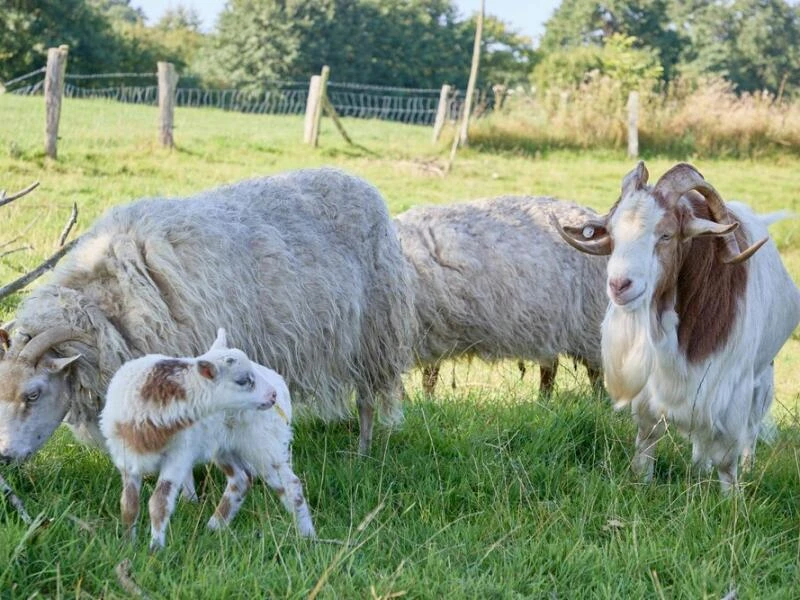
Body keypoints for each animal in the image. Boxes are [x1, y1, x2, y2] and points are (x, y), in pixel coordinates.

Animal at [0, 166, 412, 462]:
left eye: (33, 394)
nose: (4, 457)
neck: (111, 308)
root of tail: (361, 182)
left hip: (374, 334)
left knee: (366, 400)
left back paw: (362, 454)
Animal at [103, 330, 318, 552]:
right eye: (243, 381)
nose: (272, 395)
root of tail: (280, 382)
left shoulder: (178, 456)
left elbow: (159, 503)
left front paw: (155, 550)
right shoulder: (126, 459)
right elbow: (128, 505)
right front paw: (127, 545)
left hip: (264, 443)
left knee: (291, 485)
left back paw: (308, 537)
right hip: (225, 447)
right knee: (241, 479)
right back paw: (214, 527)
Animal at [396, 195, 608, 396]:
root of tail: (591, 214)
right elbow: (426, 379)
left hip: (588, 322)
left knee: (595, 371)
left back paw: (598, 401)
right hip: (550, 326)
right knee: (550, 367)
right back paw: (544, 402)